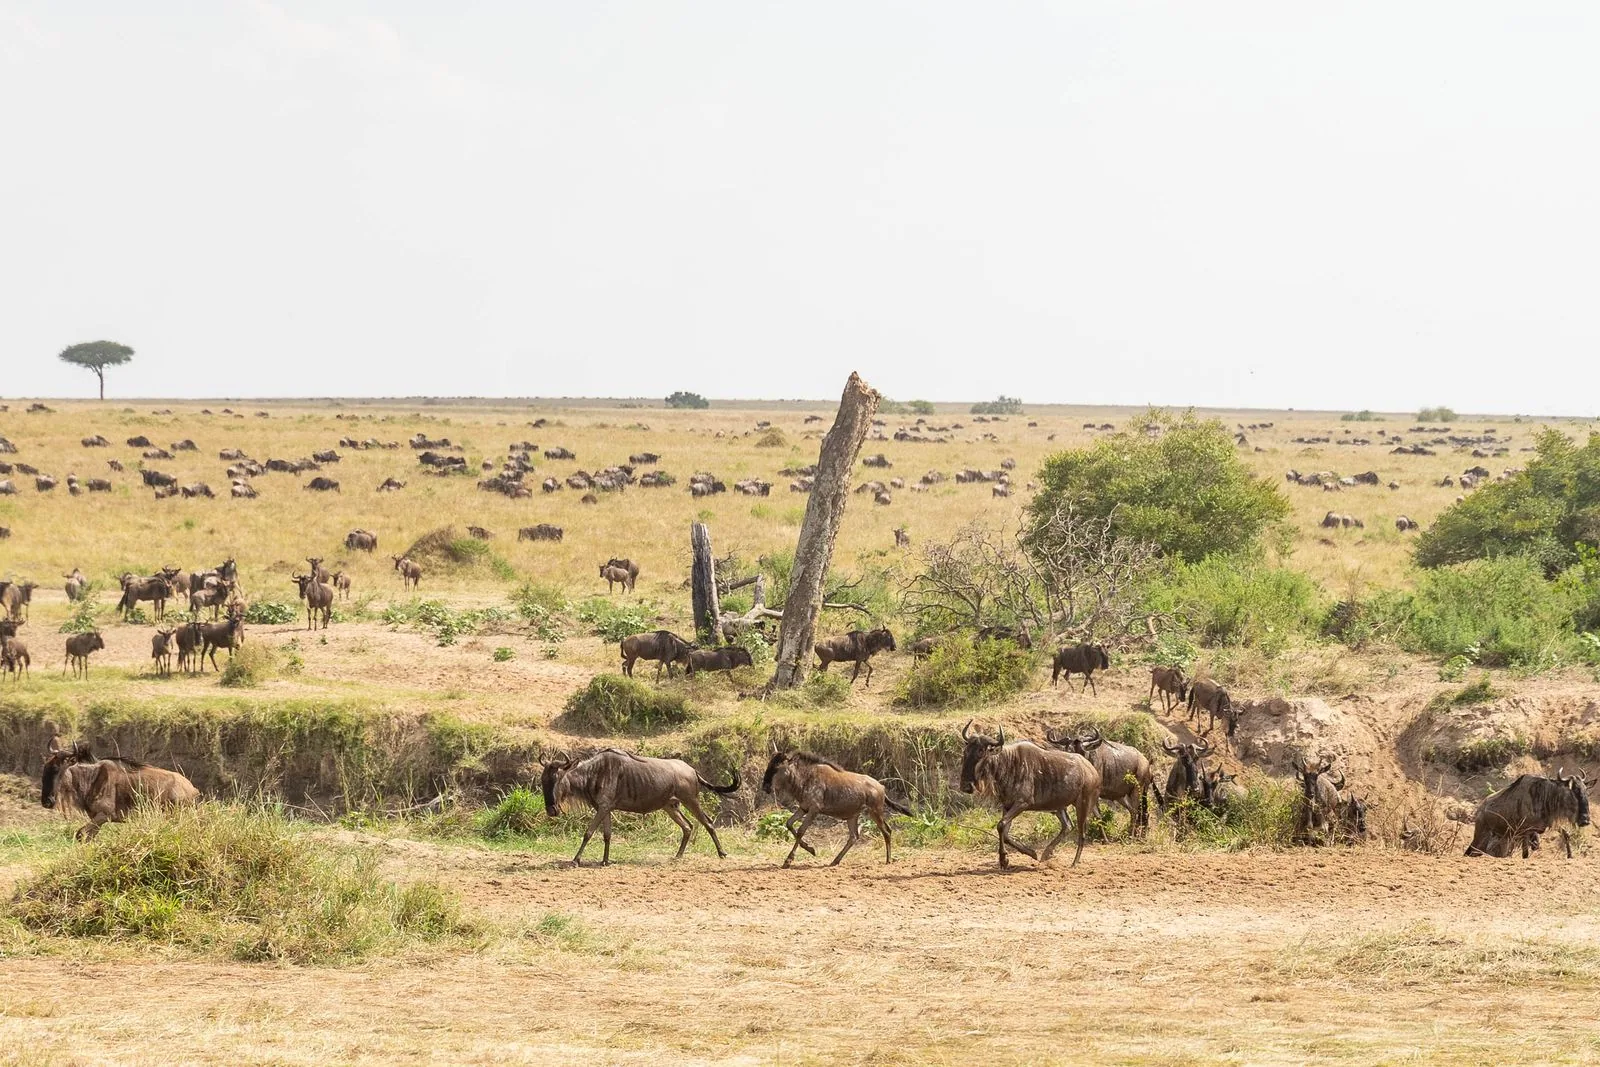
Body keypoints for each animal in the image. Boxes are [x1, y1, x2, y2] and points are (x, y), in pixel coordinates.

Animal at [40, 736, 199, 841]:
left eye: (56, 769)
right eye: (45, 768)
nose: (47, 802)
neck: (91, 778)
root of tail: (192, 790)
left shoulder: (104, 815)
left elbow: (80, 834)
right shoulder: (97, 819)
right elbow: (86, 837)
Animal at [540, 749, 739, 866]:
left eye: (558, 778)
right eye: (543, 781)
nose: (551, 810)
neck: (593, 773)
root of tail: (692, 770)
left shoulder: (603, 807)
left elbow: (588, 833)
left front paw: (576, 860)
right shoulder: (605, 809)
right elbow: (607, 835)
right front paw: (605, 861)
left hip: (691, 801)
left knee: (708, 822)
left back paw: (722, 853)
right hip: (670, 806)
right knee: (687, 826)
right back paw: (678, 856)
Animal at [959, 721, 1100, 868]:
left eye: (981, 752)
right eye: (966, 751)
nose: (965, 786)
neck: (1008, 763)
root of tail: (1091, 770)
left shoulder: (1022, 803)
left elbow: (1001, 825)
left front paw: (1004, 859)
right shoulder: (1007, 806)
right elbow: (1005, 832)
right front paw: (1030, 853)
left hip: (1083, 805)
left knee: (1081, 833)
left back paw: (1074, 863)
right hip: (1059, 807)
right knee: (1068, 826)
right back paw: (1046, 853)